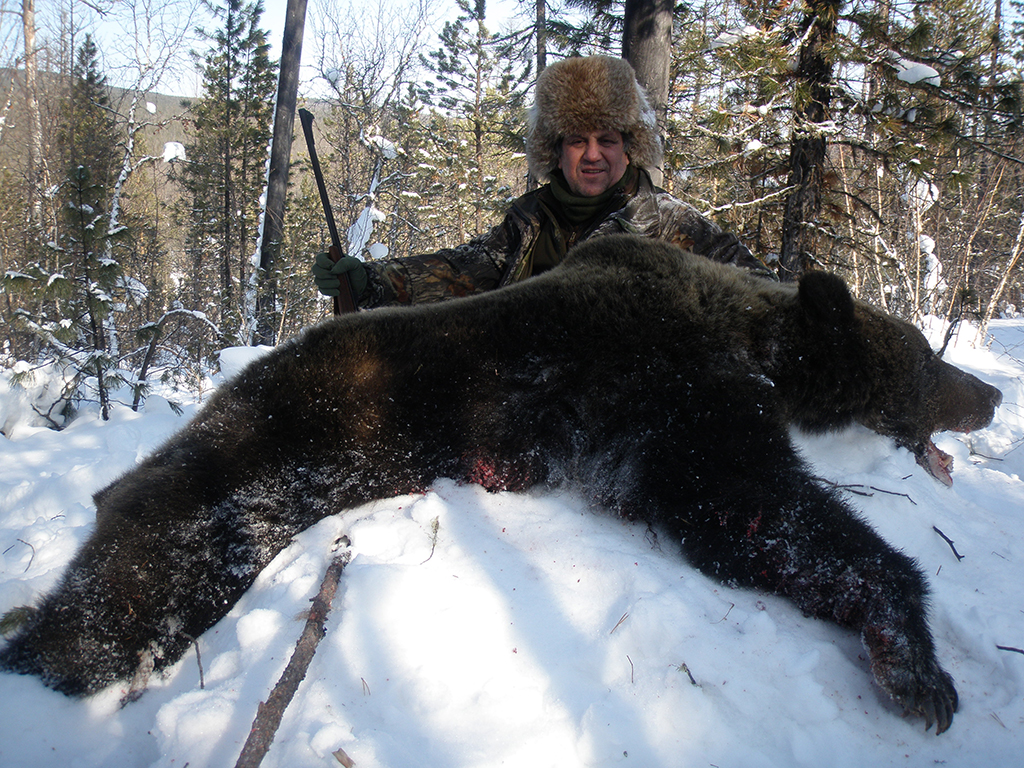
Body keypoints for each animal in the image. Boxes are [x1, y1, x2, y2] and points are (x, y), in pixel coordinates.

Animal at [0, 233, 995, 733]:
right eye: (923, 357)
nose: (987, 392)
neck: (748, 332)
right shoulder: (663, 387)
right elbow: (750, 508)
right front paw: (920, 670)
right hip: (240, 483)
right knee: (118, 609)